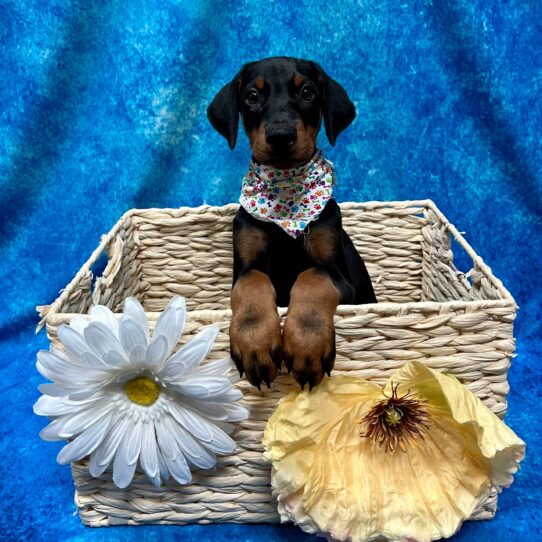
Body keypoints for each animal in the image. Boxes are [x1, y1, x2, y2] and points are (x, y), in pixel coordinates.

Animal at [208, 56, 378, 392]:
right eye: (252, 96)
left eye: (307, 91)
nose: (280, 136)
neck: (284, 203)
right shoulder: (243, 264)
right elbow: (251, 281)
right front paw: (255, 343)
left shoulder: (343, 280)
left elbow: (314, 275)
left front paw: (306, 344)